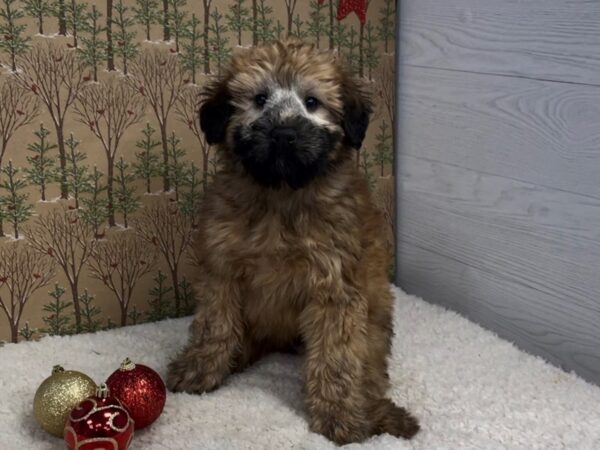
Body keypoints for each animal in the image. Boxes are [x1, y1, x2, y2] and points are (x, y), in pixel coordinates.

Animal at [166, 39, 420, 442]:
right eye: (259, 99)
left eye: (312, 102)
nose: (284, 133)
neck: (281, 194)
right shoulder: (222, 269)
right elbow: (215, 326)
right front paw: (200, 368)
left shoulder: (334, 285)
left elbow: (336, 356)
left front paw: (338, 412)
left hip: (377, 313)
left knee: (369, 361)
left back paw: (373, 404)